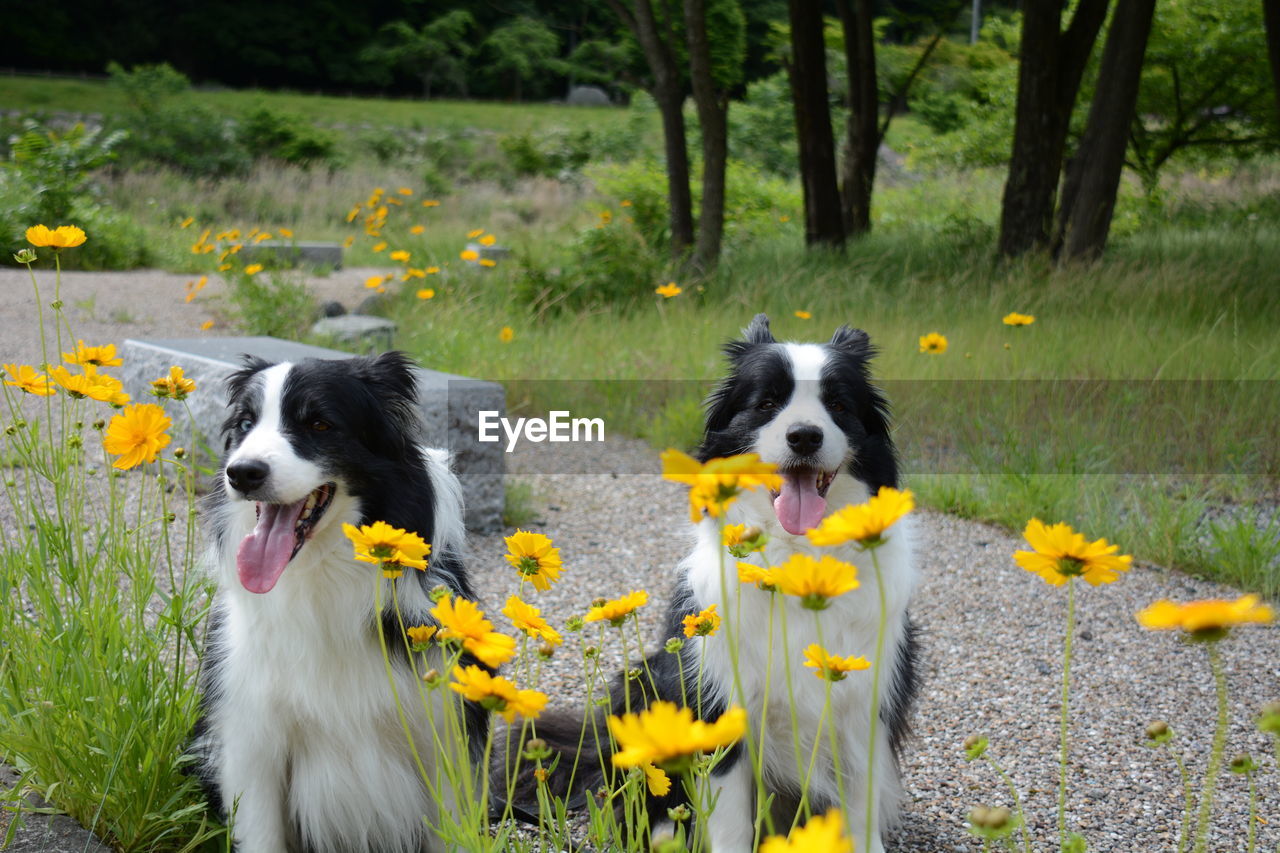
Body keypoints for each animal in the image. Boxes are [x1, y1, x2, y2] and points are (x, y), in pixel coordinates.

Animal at [190, 350, 488, 850]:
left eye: (319, 424)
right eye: (246, 423)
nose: (242, 473)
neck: (323, 578)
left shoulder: (444, 738)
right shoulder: (251, 742)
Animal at [532, 312, 921, 850]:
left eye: (839, 405)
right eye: (767, 403)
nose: (805, 436)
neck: (795, 558)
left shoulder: (862, 707)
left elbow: (862, 811)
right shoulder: (718, 705)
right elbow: (730, 821)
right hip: (644, 684)